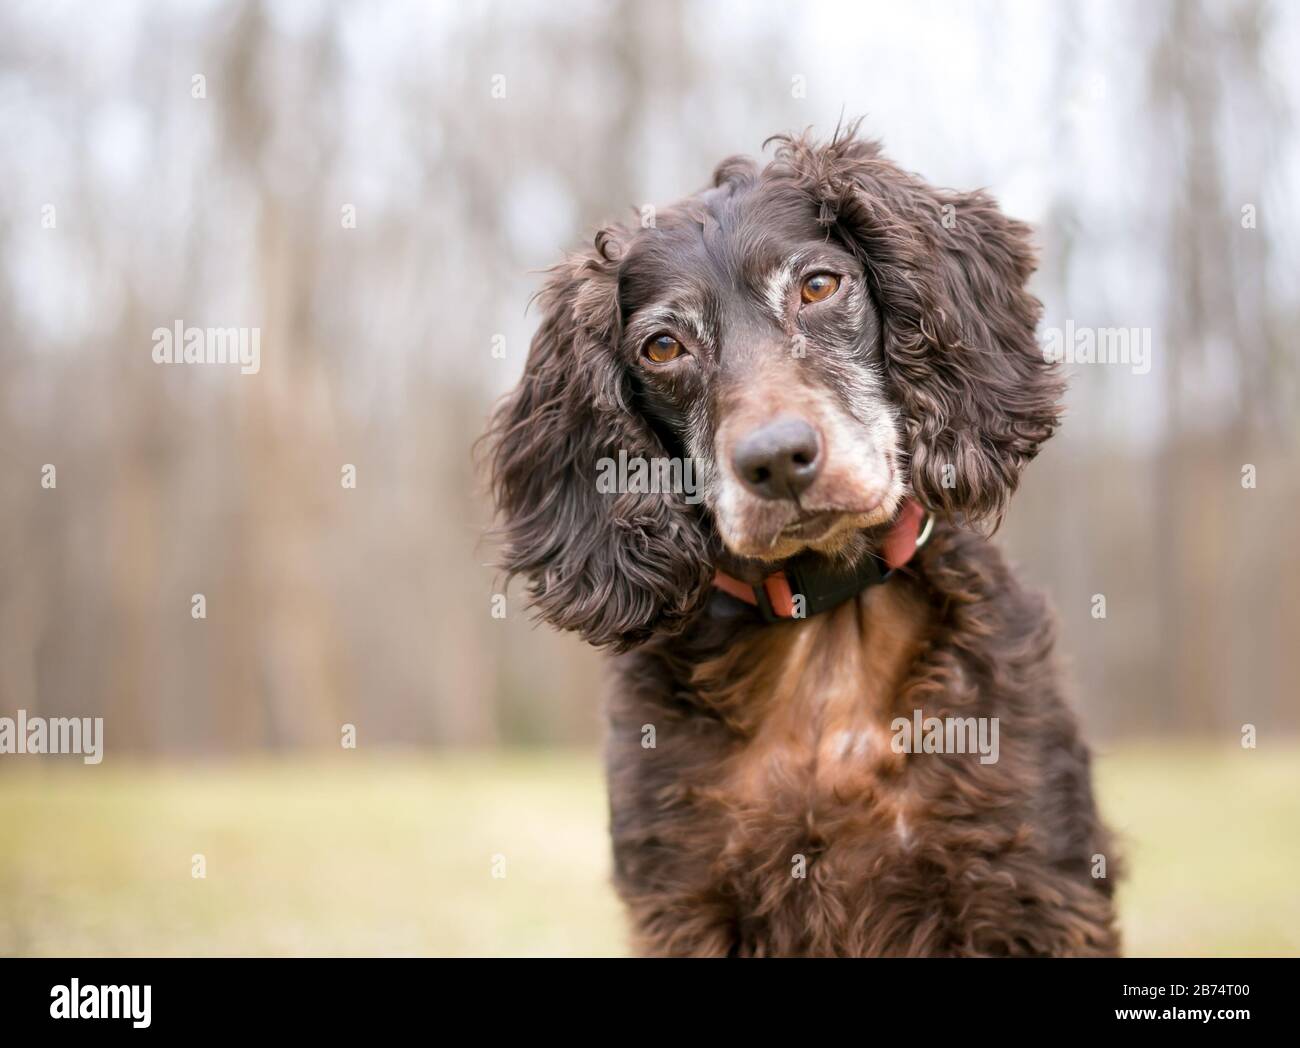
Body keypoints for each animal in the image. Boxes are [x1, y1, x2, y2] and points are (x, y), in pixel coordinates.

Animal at [488, 125, 1118, 962]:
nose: (778, 460)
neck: (824, 637)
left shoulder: (1029, 889)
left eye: (818, 287)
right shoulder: (688, 903)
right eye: (662, 348)